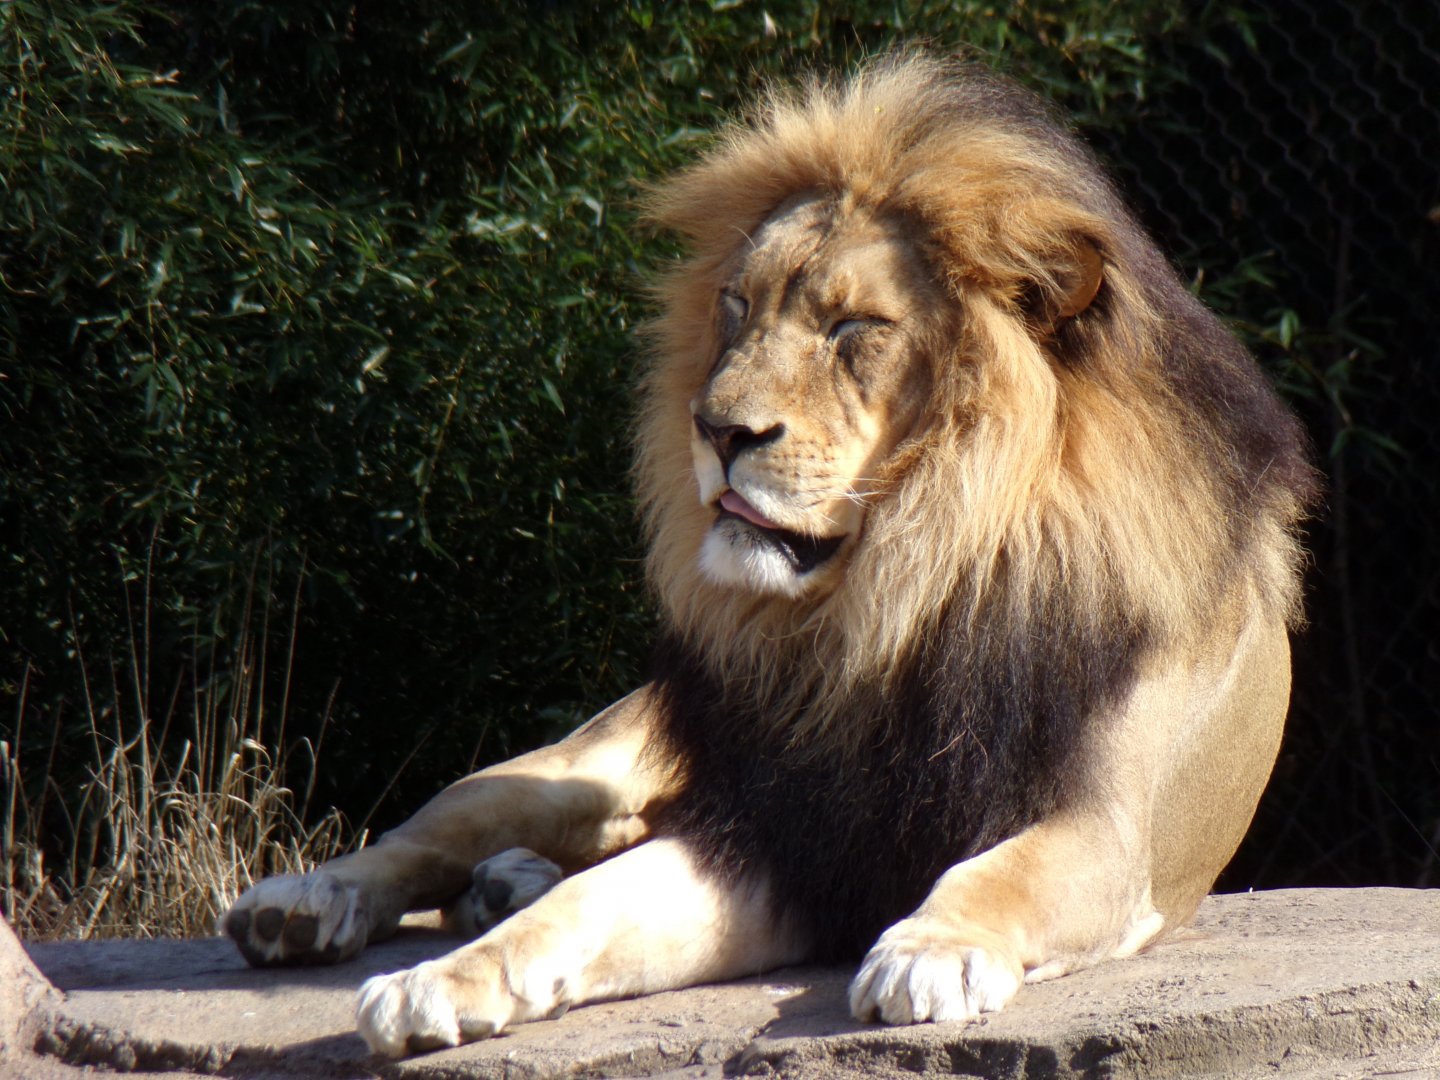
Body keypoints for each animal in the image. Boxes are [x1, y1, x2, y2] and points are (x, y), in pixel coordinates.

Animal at [223, 55, 1317, 1057]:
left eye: (855, 328)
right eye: (738, 308)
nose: (715, 429)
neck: (898, 601)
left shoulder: (1109, 831)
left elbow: (998, 872)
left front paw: (929, 947)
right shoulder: (781, 834)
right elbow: (590, 905)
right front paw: (441, 980)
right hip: (581, 767)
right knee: (438, 831)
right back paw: (308, 903)